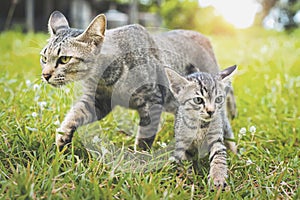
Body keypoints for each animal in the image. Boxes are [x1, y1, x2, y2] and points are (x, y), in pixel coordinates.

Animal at [39, 10, 237, 152]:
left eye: (64, 59)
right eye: (44, 58)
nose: (45, 75)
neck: (107, 80)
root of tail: (205, 39)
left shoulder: (152, 100)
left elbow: (145, 138)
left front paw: (139, 157)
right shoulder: (97, 101)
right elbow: (75, 114)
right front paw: (62, 136)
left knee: (226, 127)